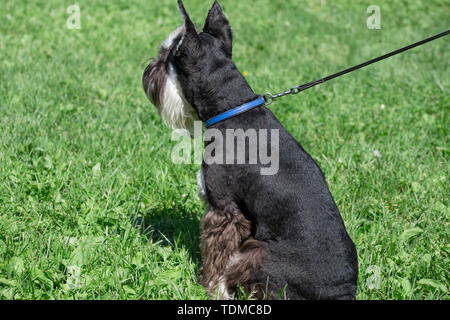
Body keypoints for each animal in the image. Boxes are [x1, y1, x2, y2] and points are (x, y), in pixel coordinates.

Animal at [142, 0, 356, 300]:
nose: (149, 68)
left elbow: (218, 255)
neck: (231, 106)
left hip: (258, 251)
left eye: (165, 57)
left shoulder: (225, 210)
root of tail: (343, 292)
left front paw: (209, 287)